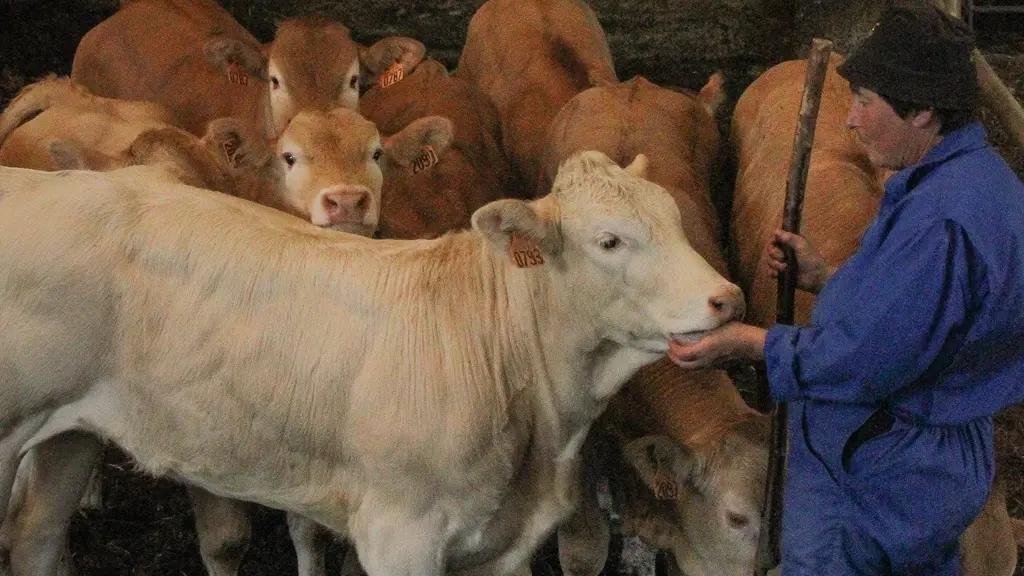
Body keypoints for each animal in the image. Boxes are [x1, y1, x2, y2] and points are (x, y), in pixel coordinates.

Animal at [0, 148, 741, 573]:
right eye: (609, 241)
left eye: (675, 221)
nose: (726, 298)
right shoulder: (398, 531)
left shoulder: (499, 543)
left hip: (69, 431)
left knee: (35, 538)